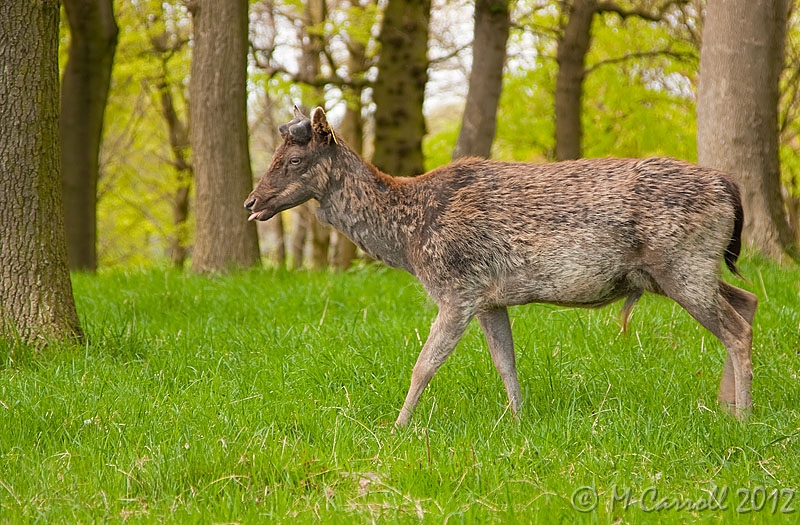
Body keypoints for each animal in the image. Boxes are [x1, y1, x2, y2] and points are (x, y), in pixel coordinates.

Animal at [244, 105, 756, 426]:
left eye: (294, 159)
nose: (251, 202)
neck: (410, 239)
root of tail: (730, 188)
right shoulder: (490, 298)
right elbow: (505, 363)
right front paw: (517, 420)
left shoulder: (457, 289)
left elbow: (423, 366)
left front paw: (397, 427)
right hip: (692, 270)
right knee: (747, 299)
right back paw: (725, 405)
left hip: (683, 265)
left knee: (736, 329)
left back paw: (743, 417)